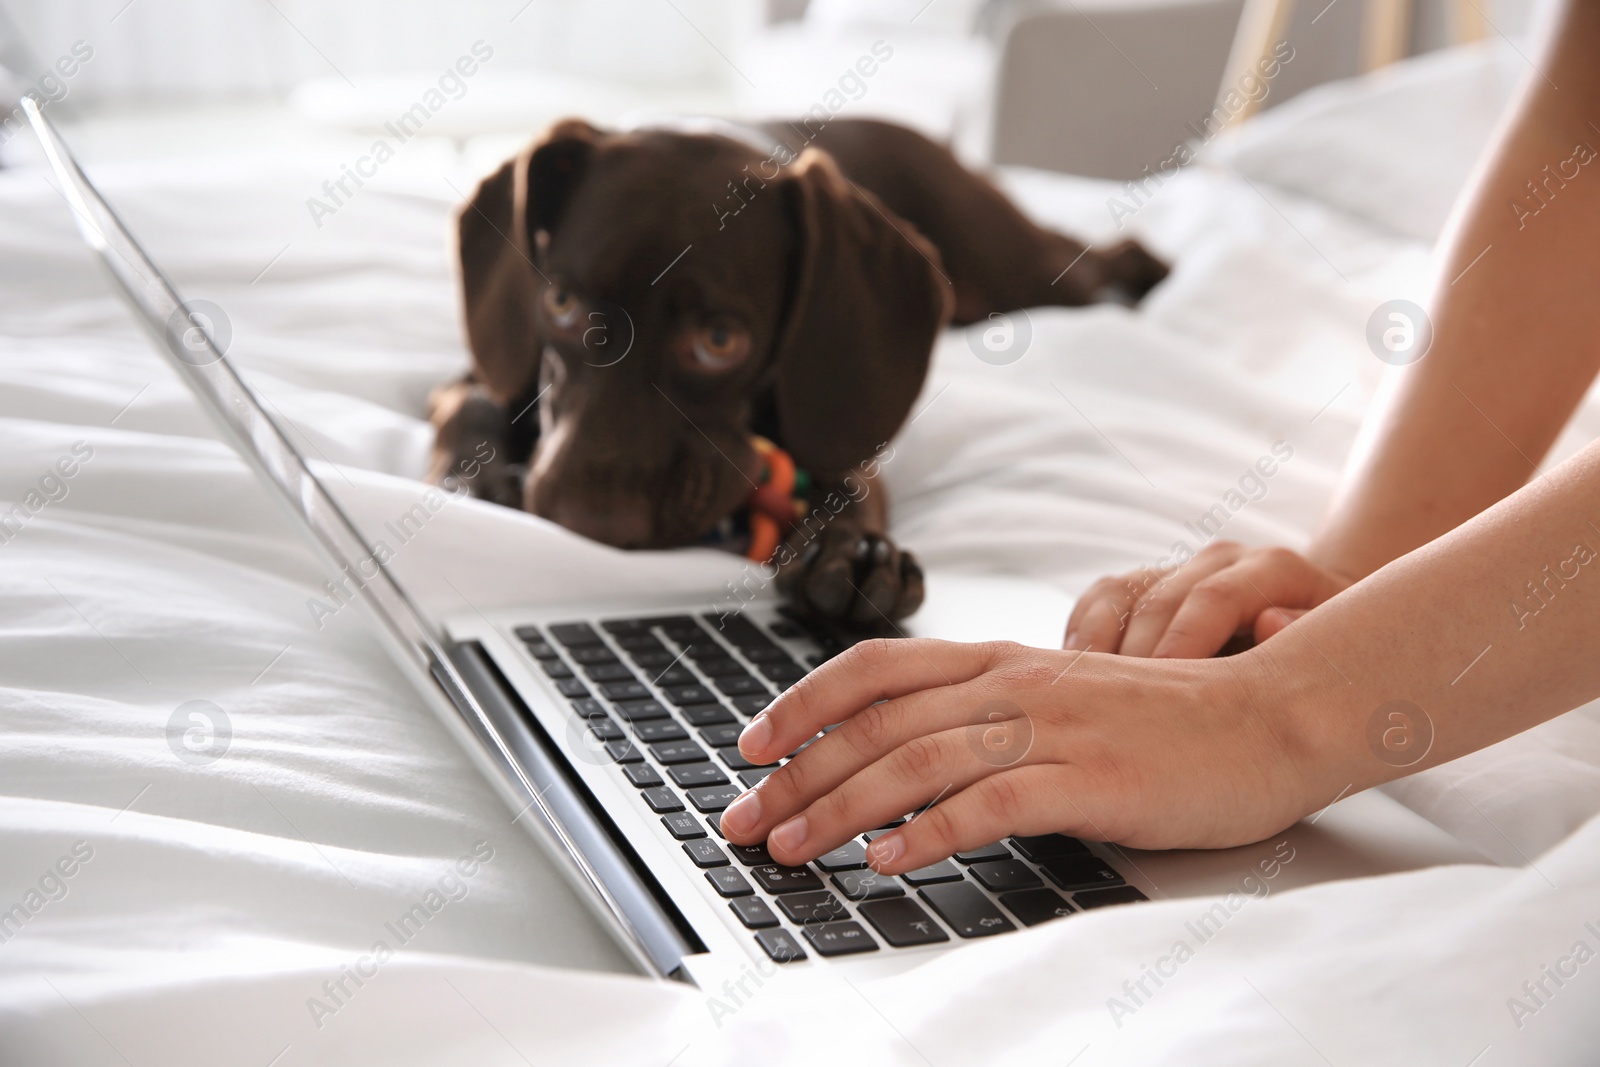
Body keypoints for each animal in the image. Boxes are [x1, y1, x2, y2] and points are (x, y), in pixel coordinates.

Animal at [432, 119, 1171, 627]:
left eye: (720, 340)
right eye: (559, 303)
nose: (593, 524)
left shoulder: (843, 436)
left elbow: (852, 483)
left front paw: (858, 551)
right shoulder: (483, 371)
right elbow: (475, 405)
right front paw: (479, 475)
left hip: (1023, 269)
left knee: (1096, 258)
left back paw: (1148, 273)